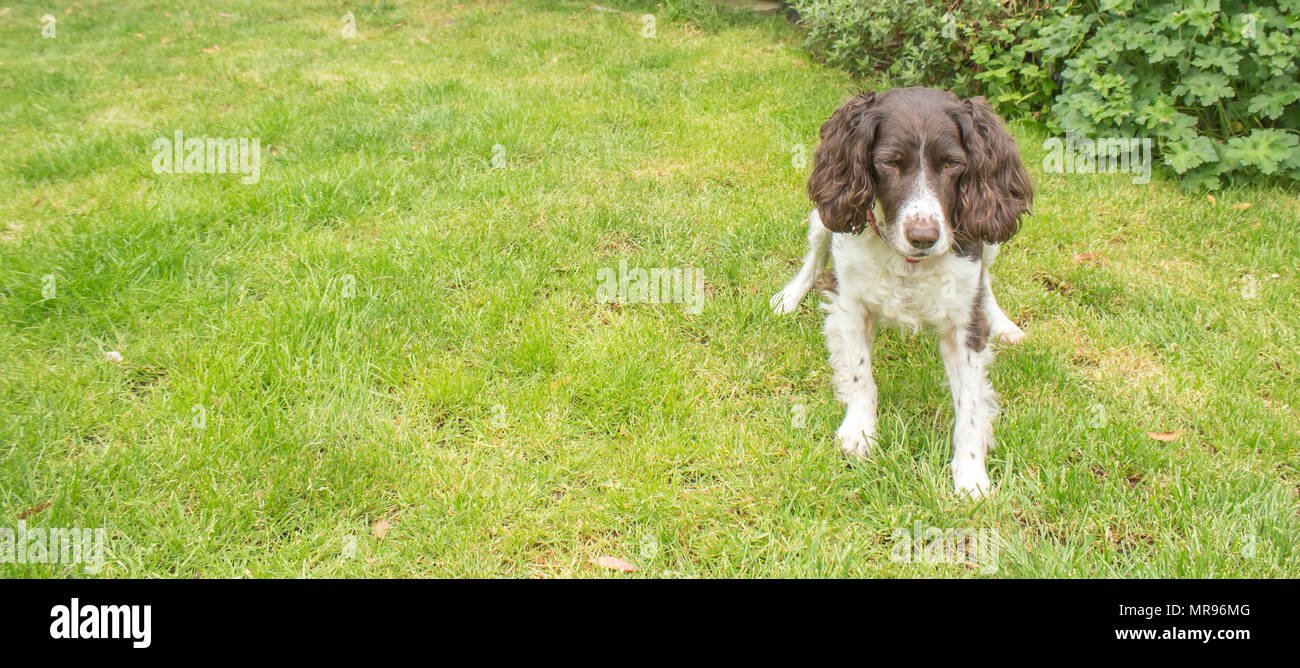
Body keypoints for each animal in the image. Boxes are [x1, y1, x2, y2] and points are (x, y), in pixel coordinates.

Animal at [769, 87, 1034, 493]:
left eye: (953, 163)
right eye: (889, 163)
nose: (924, 236)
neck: (908, 263)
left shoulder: (963, 324)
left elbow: (971, 407)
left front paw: (971, 476)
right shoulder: (851, 304)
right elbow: (861, 375)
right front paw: (859, 432)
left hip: (990, 243)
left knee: (987, 282)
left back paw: (1003, 324)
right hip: (824, 216)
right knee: (814, 256)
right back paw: (789, 297)